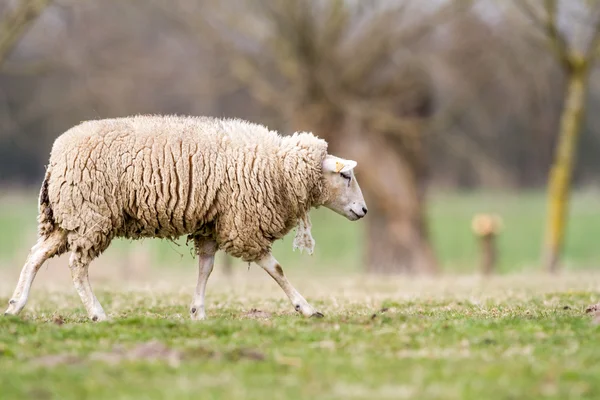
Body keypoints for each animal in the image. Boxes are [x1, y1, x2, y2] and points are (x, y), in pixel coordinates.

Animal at [4, 115, 368, 322]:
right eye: (346, 175)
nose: (364, 211)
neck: (278, 168)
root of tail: (55, 158)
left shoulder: (212, 224)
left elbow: (205, 268)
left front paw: (198, 312)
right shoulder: (242, 225)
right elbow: (276, 269)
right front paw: (306, 308)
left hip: (68, 219)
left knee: (35, 256)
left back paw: (15, 305)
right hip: (90, 215)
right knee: (77, 268)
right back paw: (97, 314)